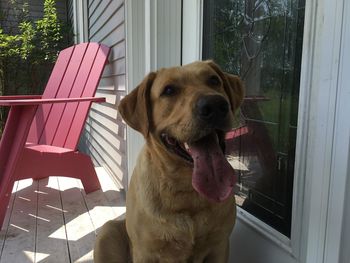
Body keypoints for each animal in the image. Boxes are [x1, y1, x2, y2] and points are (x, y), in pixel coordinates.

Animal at [94, 60, 245, 262]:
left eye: (214, 80)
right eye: (169, 90)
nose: (214, 105)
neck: (187, 191)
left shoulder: (220, 245)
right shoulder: (144, 252)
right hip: (107, 231)